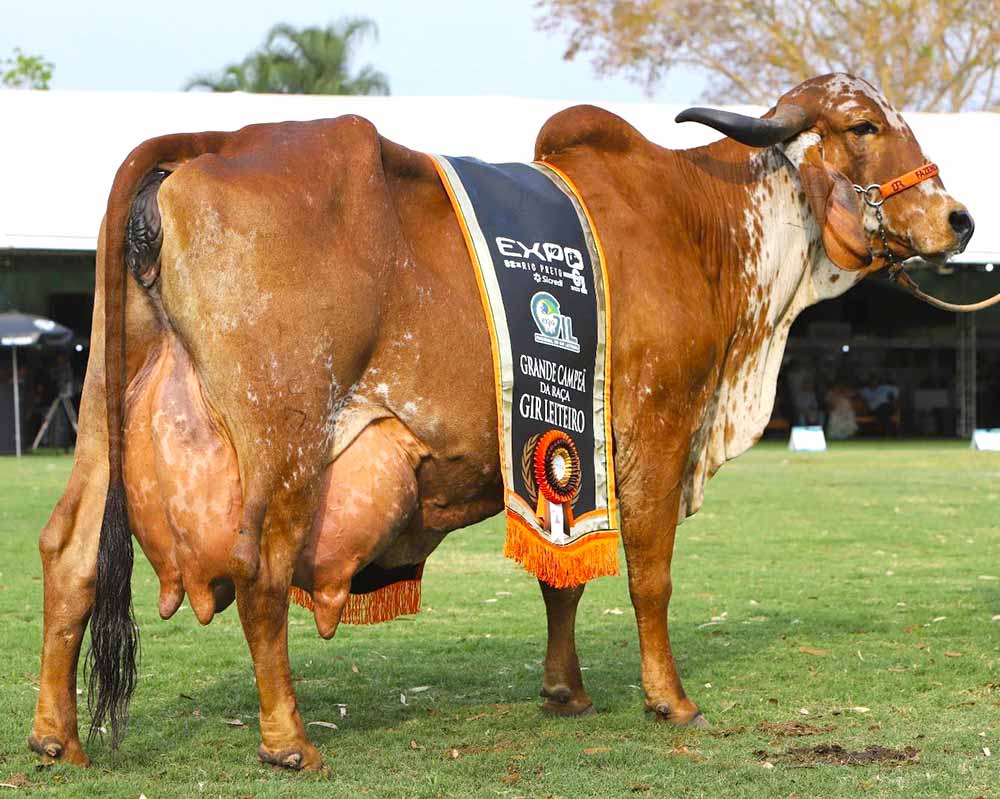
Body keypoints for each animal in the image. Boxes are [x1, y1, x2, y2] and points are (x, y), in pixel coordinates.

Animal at [29, 73, 968, 768]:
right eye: (862, 125)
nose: (957, 218)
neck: (703, 217)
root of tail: (216, 142)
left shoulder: (568, 448)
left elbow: (564, 577)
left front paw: (566, 691)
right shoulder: (657, 423)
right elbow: (650, 574)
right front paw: (669, 699)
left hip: (106, 414)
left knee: (68, 550)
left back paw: (56, 737)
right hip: (284, 430)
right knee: (260, 572)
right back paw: (289, 740)